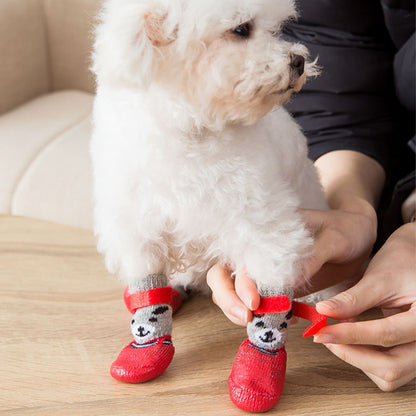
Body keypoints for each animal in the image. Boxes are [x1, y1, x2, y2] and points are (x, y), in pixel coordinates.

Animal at [90, 0, 324, 296]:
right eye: (241, 29)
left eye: (274, 29)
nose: (298, 60)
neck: (188, 128)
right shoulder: (137, 226)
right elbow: (148, 282)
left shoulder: (259, 216)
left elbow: (270, 278)